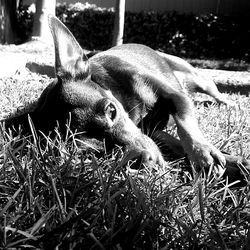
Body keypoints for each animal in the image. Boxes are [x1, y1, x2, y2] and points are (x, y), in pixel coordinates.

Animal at [2, 15, 250, 184]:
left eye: (111, 110)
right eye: (91, 152)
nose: (143, 159)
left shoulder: (176, 97)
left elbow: (185, 126)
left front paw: (203, 153)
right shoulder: (152, 132)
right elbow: (175, 143)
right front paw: (234, 163)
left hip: (198, 78)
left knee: (214, 93)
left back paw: (230, 104)